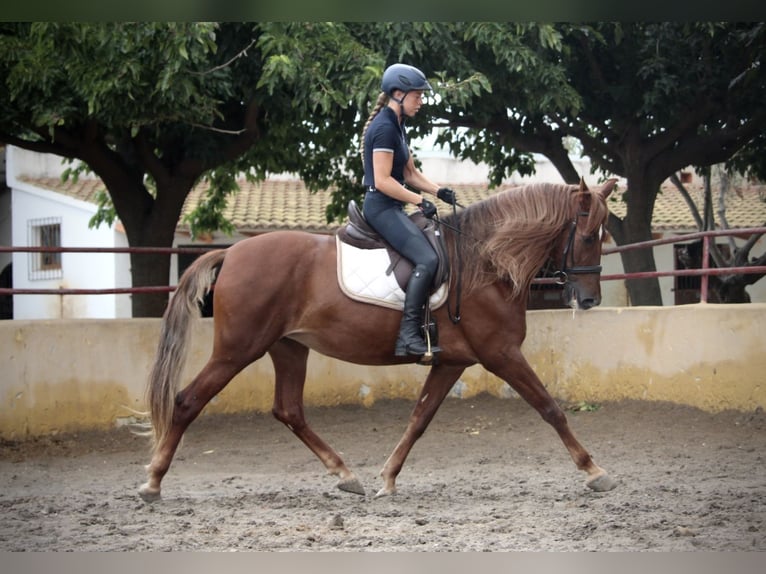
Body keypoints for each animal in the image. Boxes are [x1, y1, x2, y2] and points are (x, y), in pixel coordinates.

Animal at [140, 178, 616, 502]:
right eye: (586, 236)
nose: (590, 299)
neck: (485, 262)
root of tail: (232, 251)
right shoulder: (501, 353)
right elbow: (550, 408)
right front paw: (594, 470)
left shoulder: (452, 362)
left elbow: (419, 419)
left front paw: (387, 478)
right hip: (238, 349)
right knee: (186, 401)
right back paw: (153, 481)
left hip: (288, 347)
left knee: (288, 410)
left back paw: (345, 475)